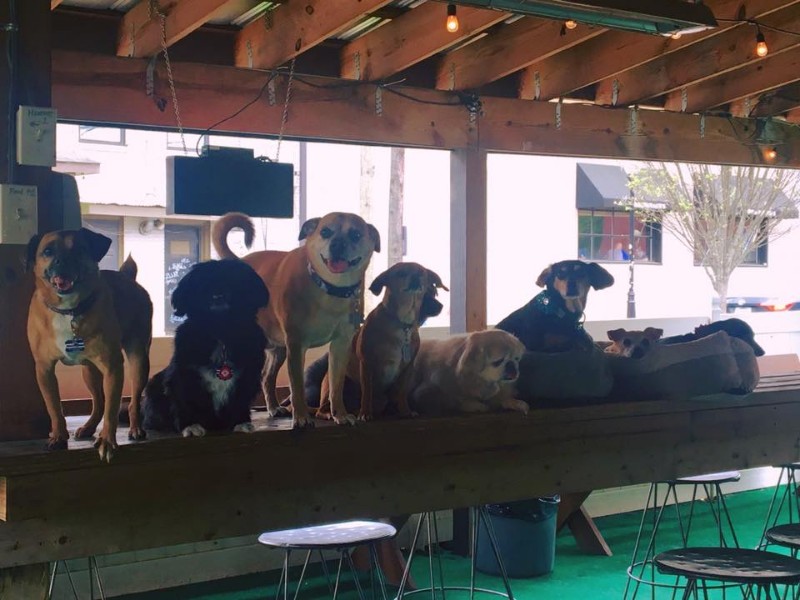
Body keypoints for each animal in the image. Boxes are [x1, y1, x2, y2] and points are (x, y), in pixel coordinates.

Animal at [27, 227, 153, 462]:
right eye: (47, 251)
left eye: (79, 249)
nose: (62, 260)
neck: (69, 311)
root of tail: (127, 277)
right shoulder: (44, 370)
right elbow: (54, 406)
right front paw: (58, 437)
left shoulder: (113, 367)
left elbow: (112, 409)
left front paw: (107, 441)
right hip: (89, 371)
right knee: (98, 402)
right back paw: (88, 427)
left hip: (139, 360)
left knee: (133, 401)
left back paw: (135, 428)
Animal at [142, 258, 270, 436]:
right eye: (203, 284)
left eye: (232, 280)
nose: (217, 294)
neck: (220, 331)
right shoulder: (182, 376)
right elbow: (185, 402)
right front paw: (191, 425)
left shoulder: (248, 376)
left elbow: (240, 401)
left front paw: (241, 422)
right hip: (154, 386)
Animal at [212, 211, 382, 426]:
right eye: (325, 232)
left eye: (356, 235)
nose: (337, 244)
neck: (328, 288)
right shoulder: (297, 344)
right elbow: (297, 387)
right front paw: (301, 417)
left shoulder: (340, 346)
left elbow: (336, 385)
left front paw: (340, 415)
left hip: (278, 350)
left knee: (266, 377)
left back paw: (274, 407)